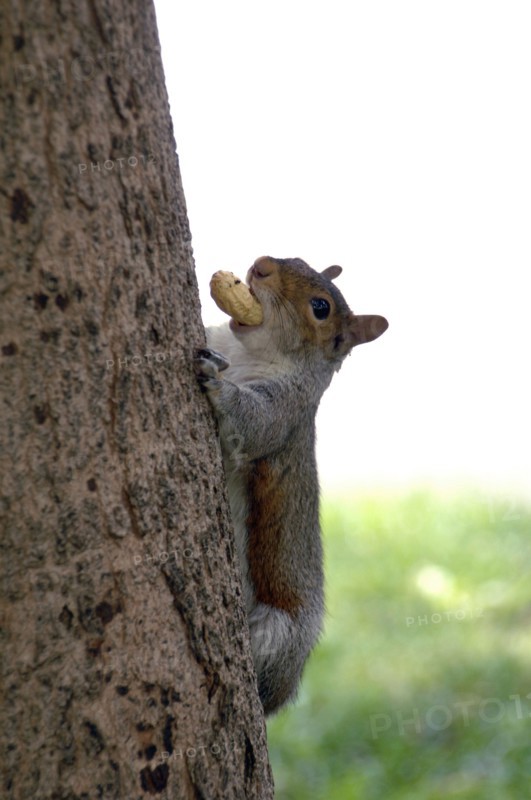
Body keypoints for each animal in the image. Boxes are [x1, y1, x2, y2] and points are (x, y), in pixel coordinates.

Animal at [195, 255, 388, 715]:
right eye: (297, 259)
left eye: (320, 307)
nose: (261, 265)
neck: (246, 351)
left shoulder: (286, 409)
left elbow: (253, 423)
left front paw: (218, 385)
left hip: (281, 632)